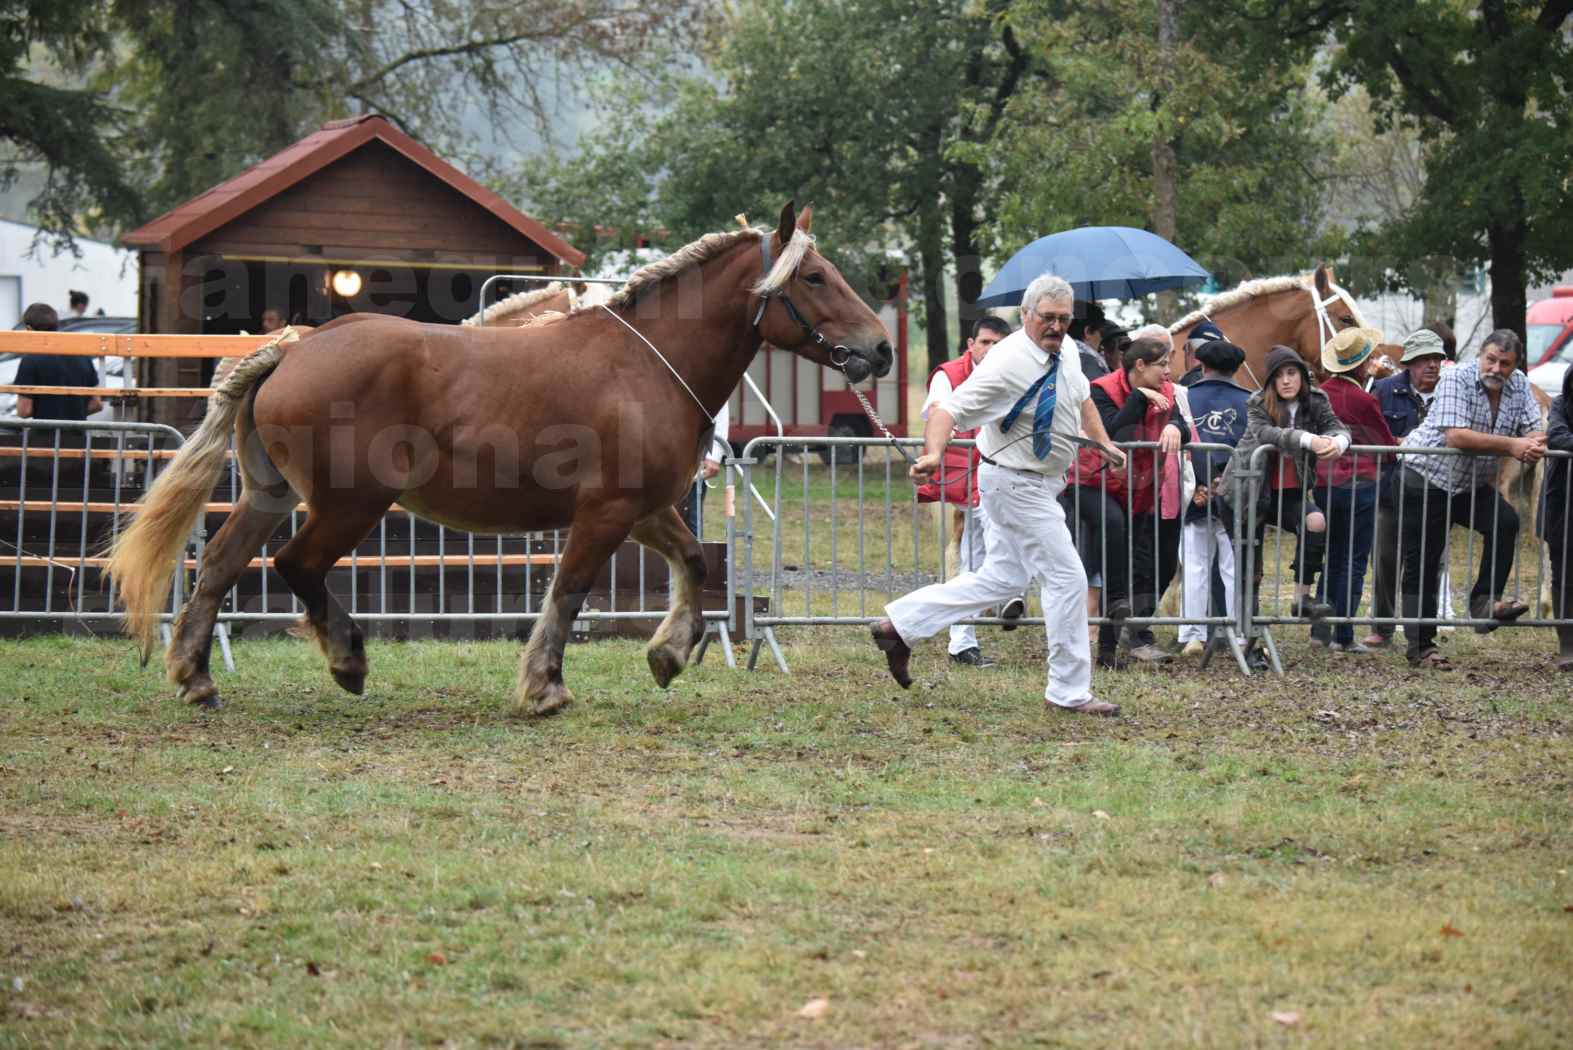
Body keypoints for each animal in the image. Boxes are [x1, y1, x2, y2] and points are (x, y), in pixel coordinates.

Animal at [107, 204, 899, 713]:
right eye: (815, 278)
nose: (883, 348)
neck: (644, 365)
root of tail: (296, 346)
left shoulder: (645, 512)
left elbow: (697, 564)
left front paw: (669, 653)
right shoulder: (605, 513)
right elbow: (569, 592)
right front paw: (545, 685)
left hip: (269, 494)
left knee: (219, 565)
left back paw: (196, 677)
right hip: (348, 505)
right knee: (294, 566)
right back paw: (347, 658)